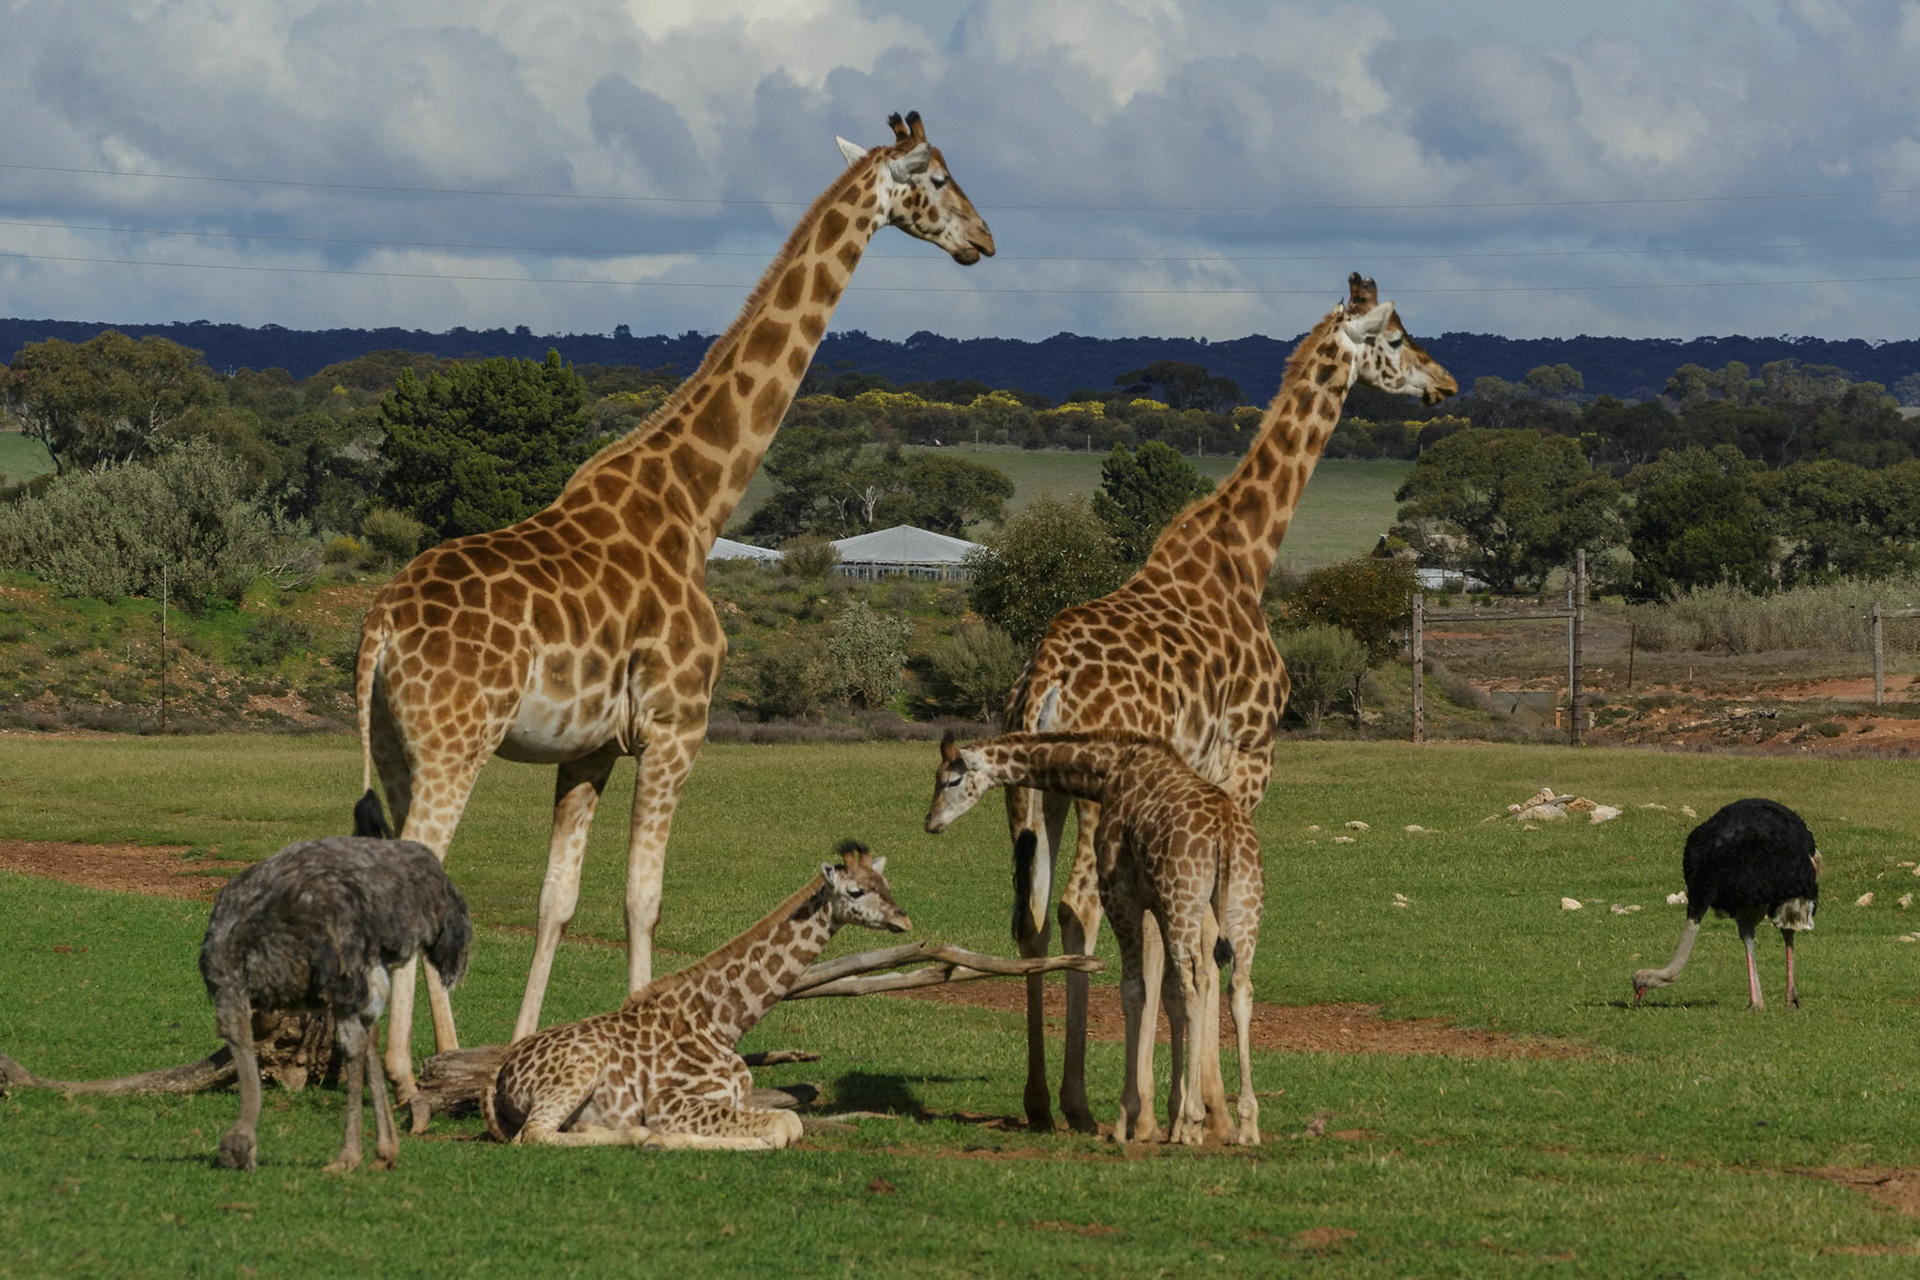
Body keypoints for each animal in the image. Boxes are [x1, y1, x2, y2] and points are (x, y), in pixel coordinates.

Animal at [355, 111, 993, 1102]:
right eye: (935, 175)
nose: (982, 240)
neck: (696, 504)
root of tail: (379, 626)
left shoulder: (587, 750)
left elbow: (559, 899)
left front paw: (517, 1050)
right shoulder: (678, 724)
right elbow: (642, 897)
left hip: (395, 745)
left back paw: (427, 1057)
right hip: (455, 740)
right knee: (419, 873)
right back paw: (401, 1073)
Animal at [482, 842, 909, 1148]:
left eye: (887, 886)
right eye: (856, 891)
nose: (903, 918)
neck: (722, 1024)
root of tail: (499, 1073)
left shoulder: (735, 1098)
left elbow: (787, 1122)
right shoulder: (671, 1103)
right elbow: (785, 1125)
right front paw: (664, 1140)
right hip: (578, 1072)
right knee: (533, 1133)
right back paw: (640, 1136)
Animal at [926, 731, 1264, 1145]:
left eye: (951, 780)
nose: (931, 822)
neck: (1106, 772)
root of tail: (1225, 834)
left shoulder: (1120, 893)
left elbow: (1135, 991)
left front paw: (1126, 1121)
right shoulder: (1155, 904)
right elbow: (1165, 994)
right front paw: (1163, 1119)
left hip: (1184, 901)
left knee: (1196, 983)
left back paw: (1193, 1123)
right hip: (1243, 907)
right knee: (1239, 987)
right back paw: (1247, 1123)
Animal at [998, 274, 1456, 1133]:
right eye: (1397, 337)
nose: (1443, 383)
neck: (1248, 555)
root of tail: (1043, 682)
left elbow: (1185, 932)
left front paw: (1188, 1100)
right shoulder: (1245, 762)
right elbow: (1209, 932)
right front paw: (1206, 1105)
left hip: (1028, 791)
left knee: (1033, 915)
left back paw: (1044, 1101)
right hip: (1094, 790)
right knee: (1079, 908)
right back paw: (1090, 1102)